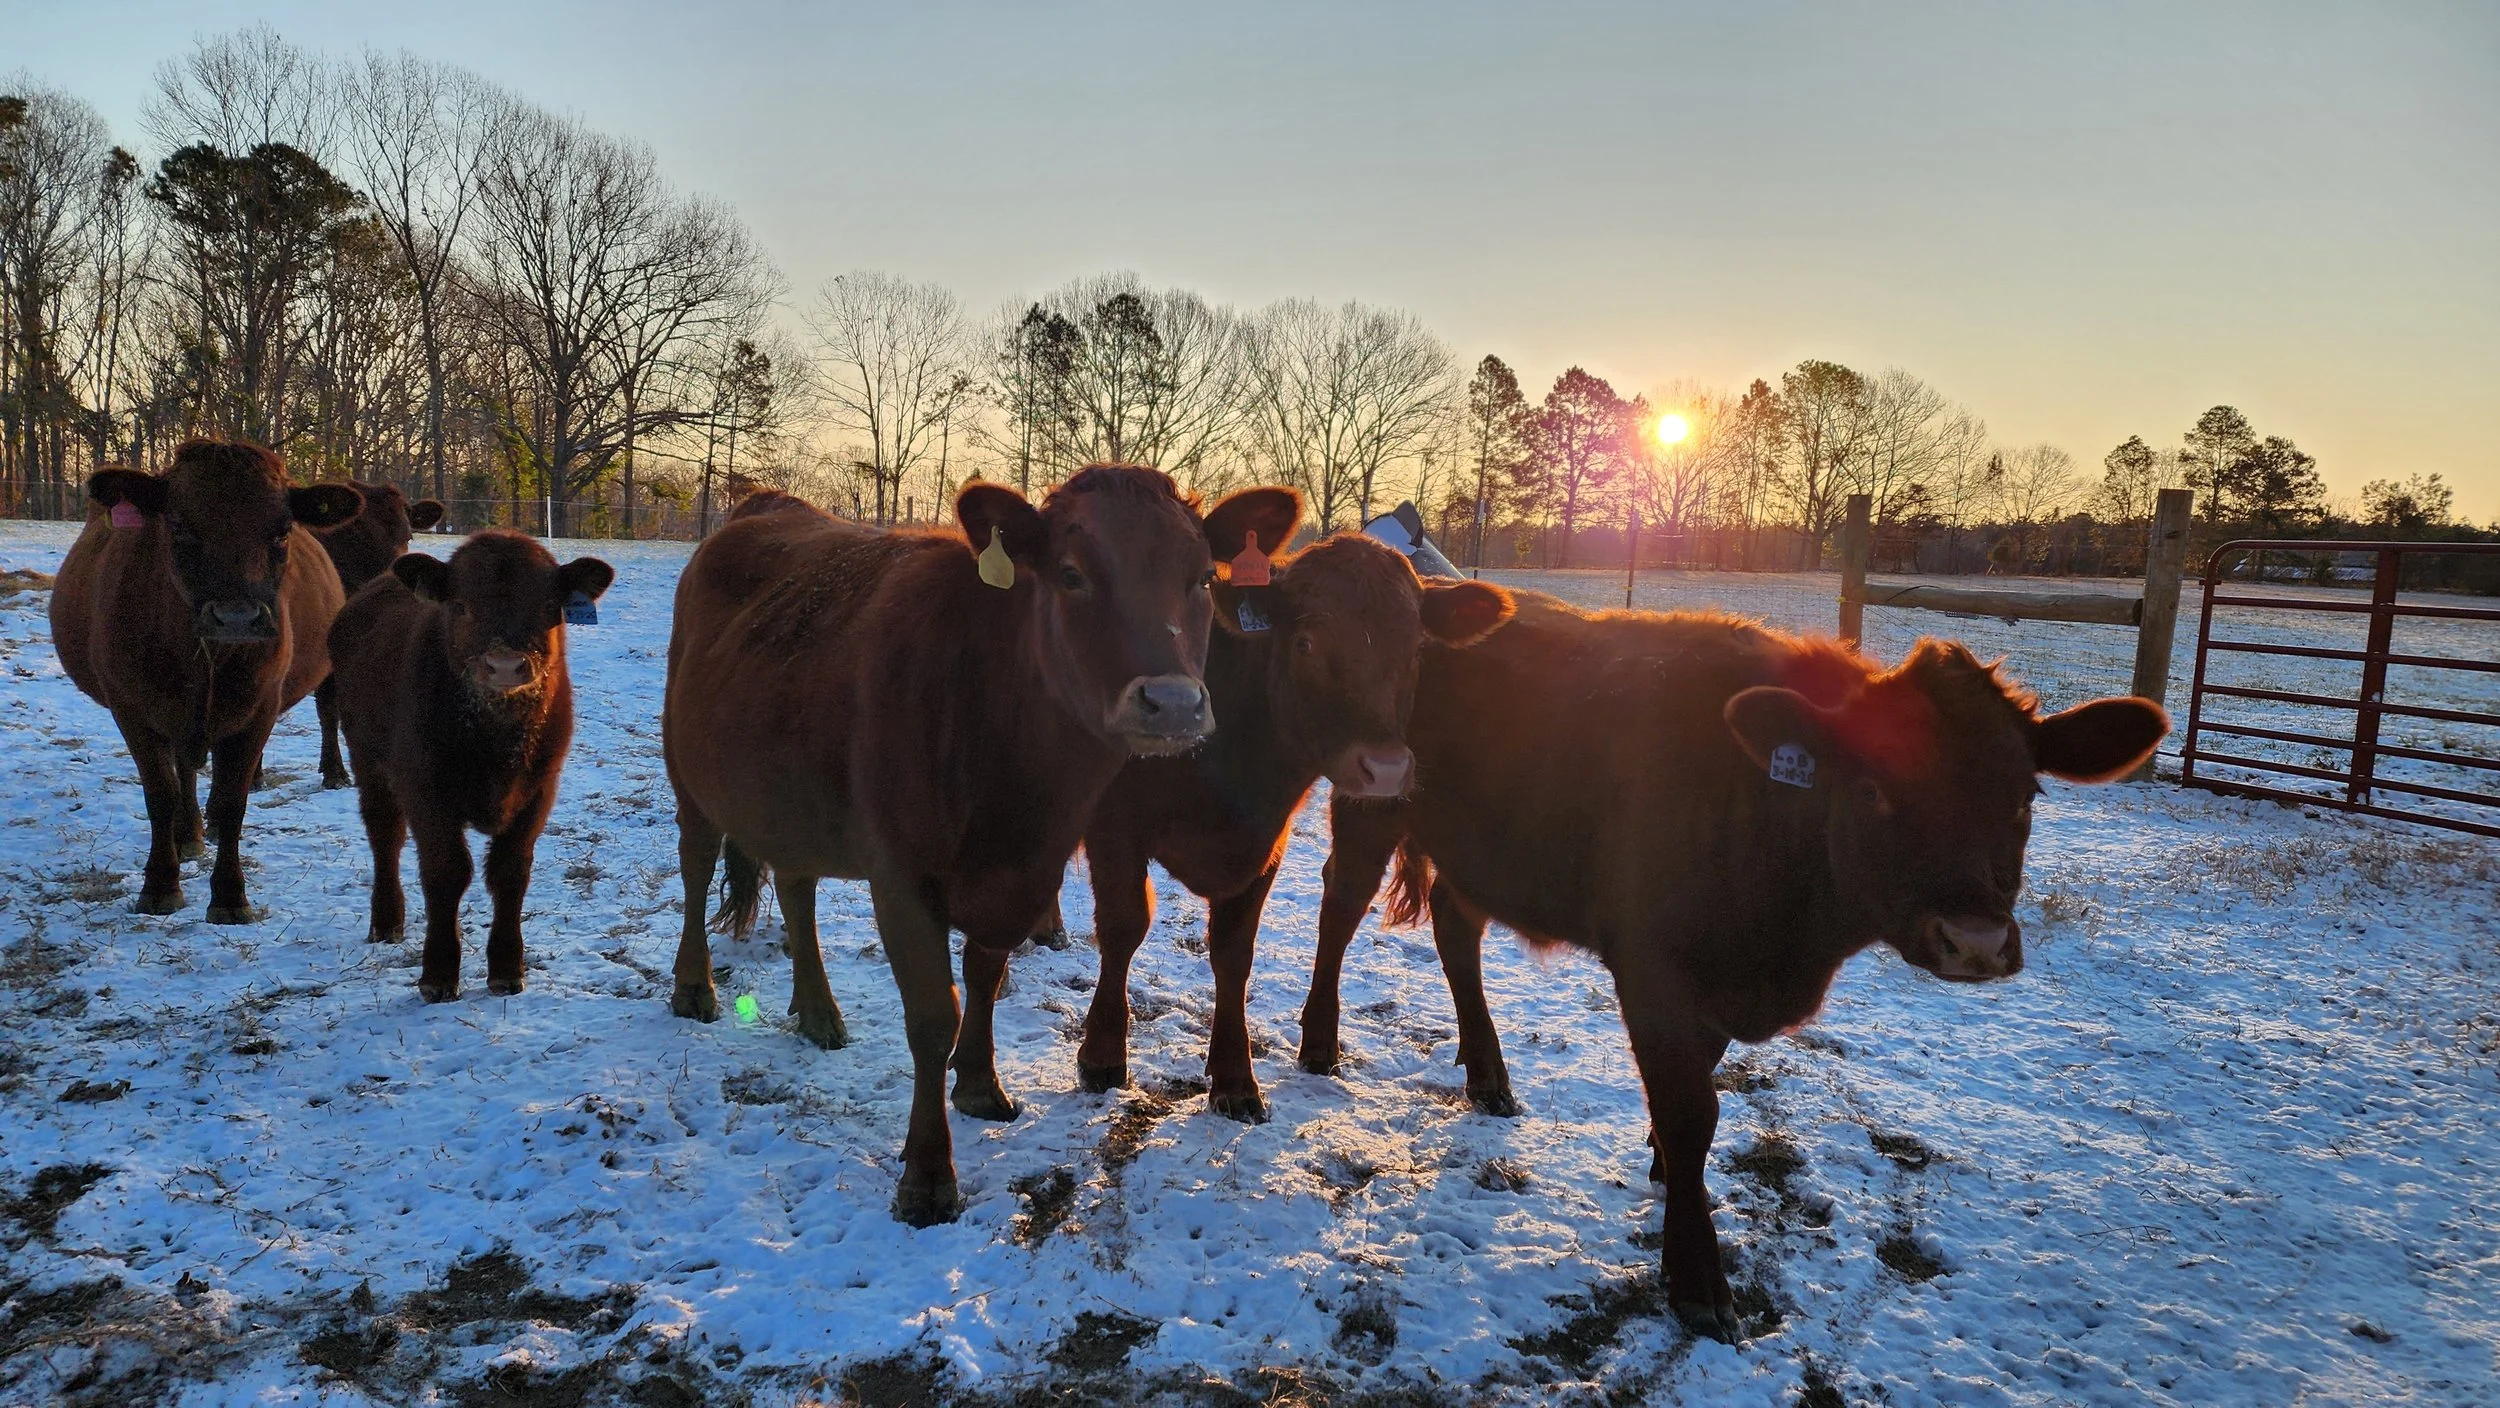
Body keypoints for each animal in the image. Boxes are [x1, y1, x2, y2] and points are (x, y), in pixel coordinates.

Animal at [47, 440, 363, 922]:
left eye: (282, 529)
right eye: (178, 524)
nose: (237, 617)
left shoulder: (260, 709)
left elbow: (233, 803)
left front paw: (231, 897)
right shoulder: (132, 709)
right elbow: (160, 795)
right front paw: (161, 886)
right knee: (184, 774)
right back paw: (188, 833)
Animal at [328, 530, 612, 1001]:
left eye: (547, 605)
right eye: (460, 605)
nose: (504, 665)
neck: (496, 741)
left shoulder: (540, 789)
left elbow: (509, 871)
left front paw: (507, 968)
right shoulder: (425, 791)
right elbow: (446, 871)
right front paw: (439, 973)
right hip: (366, 757)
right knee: (385, 834)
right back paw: (386, 921)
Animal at [664, 467, 1293, 1226]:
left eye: (1202, 577)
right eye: (1071, 575)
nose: (1172, 703)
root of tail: (766, 504)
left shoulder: (1025, 871)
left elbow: (986, 977)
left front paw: (980, 1085)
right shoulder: (901, 879)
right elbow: (935, 1015)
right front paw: (928, 1175)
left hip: (790, 794)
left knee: (795, 886)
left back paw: (818, 1011)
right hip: (688, 772)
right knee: (696, 867)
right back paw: (693, 988)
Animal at [1073, 529, 1514, 1121]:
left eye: (1417, 649)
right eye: (1305, 643)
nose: (1387, 768)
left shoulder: (1265, 843)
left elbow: (1234, 953)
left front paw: (1235, 1078)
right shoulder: (1114, 828)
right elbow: (1123, 928)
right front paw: (1101, 1055)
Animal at [1300, 594, 2167, 1340]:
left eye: (2025, 797)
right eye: (1871, 788)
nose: (1976, 940)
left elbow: (1696, 1097)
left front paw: (1662, 1167)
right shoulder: (1652, 968)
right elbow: (1694, 1114)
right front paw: (1698, 1277)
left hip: (1482, 848)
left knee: (1456, 927)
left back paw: (1488, 1075)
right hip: (1373, 800)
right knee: (1340, 907)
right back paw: (1319, 1044)